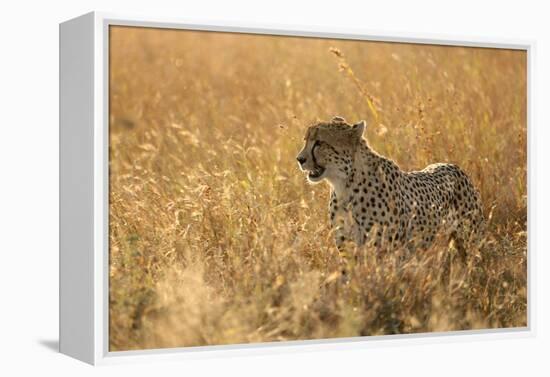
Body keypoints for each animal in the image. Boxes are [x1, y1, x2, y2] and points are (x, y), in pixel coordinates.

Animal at [298, 114, 488, 256]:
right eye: (306, 140)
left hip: (472, 239)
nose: (299, 159)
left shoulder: (383, 250)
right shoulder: (348, 247)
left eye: (319, 143)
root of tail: (452, 165)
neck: (345, 184)